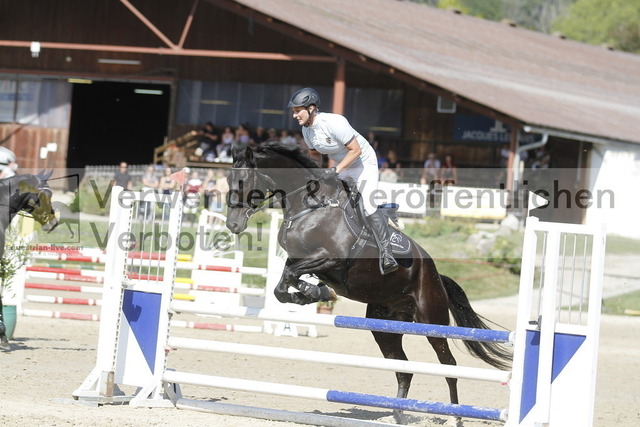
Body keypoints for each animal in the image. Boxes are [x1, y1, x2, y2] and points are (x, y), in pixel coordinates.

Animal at [225, 141, 511, 423]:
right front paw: (311, 293)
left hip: (432, 321)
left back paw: (455, 417)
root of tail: (436, 275)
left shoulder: (331, 259)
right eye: (228, 179)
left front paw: (313, 292)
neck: (310, 205)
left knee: (448, 365)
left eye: (243, 180)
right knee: (404, 368)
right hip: (384, 326)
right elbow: (282, 284)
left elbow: (289, 278)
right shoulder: (299, 259)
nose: (233, 225)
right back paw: (398, 414)